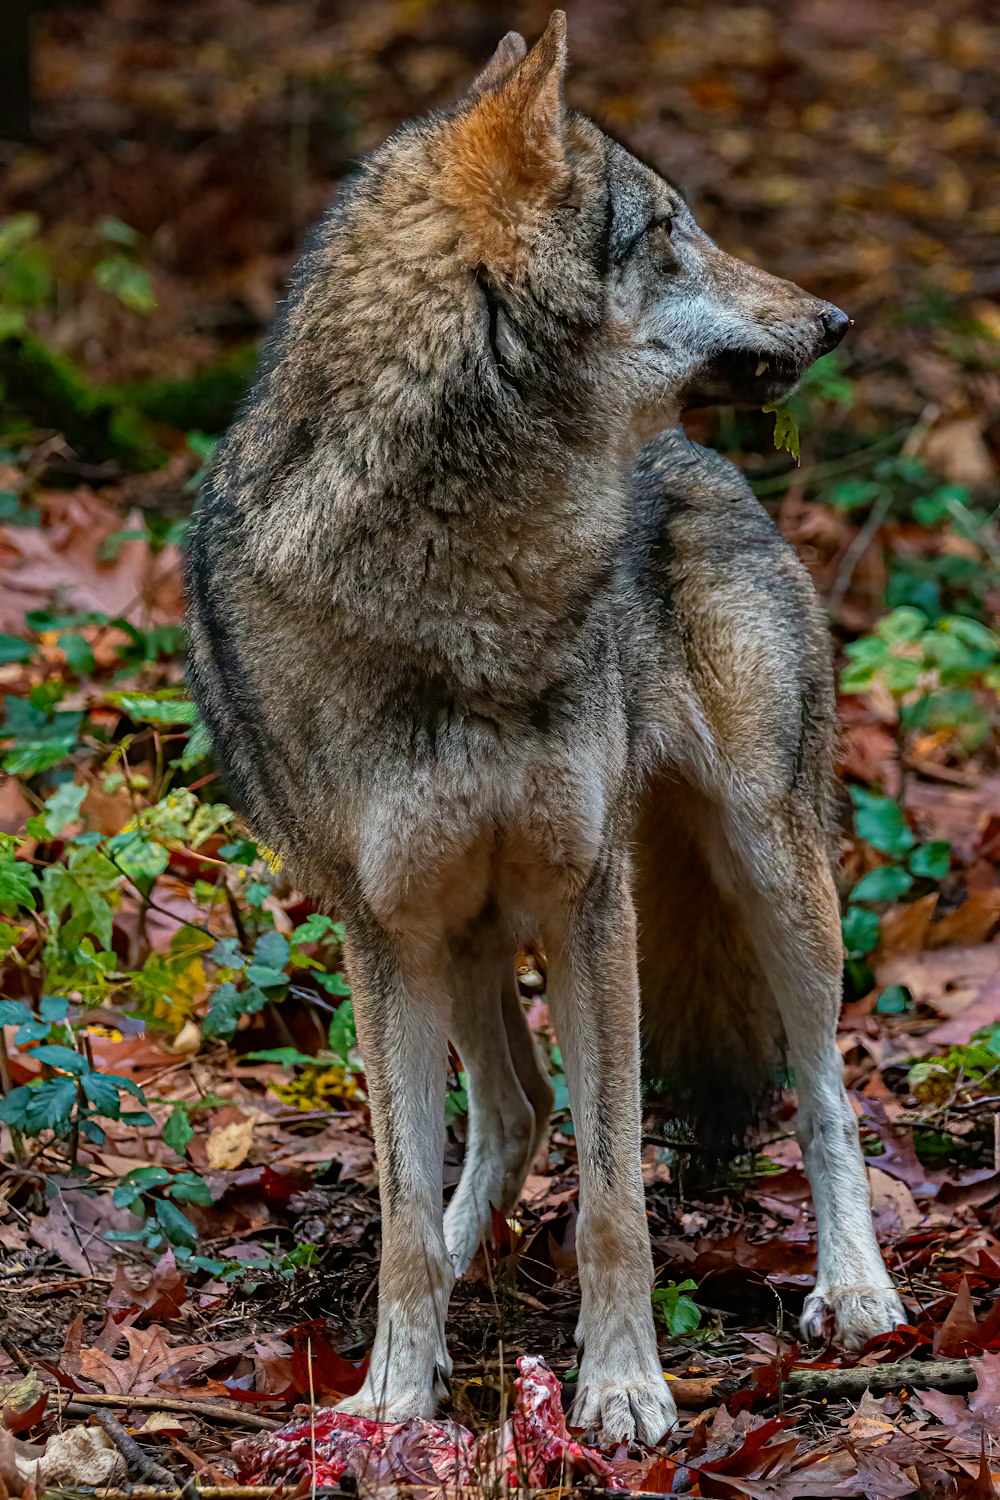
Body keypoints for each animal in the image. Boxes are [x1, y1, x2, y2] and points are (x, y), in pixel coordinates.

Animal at [182, 11, 905, 1440]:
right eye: (670, 229)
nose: (833, 319)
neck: (467, 570)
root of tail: (699, 464)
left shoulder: (590, 899)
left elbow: (615, 1195)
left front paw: (621, 1388)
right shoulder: (387, 929)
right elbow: (405, 1206)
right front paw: (394, 1396)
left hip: (770, 872)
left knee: (826, 1092)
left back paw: (855, 1292)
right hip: (460, 938)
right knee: (505, 1117)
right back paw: (456, 1274)